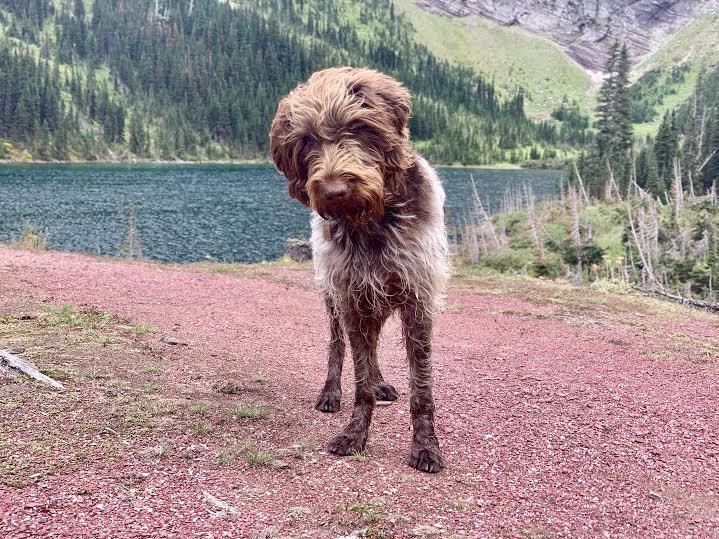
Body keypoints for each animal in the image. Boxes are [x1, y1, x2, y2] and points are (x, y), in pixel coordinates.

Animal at [272, 67, 450, 472]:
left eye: (357, 127)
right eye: (306, 140)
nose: (334, 192)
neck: (373, 220)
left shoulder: (417, 301)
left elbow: (422, 387)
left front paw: (426, 446)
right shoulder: (352, 300)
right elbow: (360, 377)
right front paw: (355, 434)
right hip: (335, 298)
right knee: (339, 347)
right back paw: (331, 392)